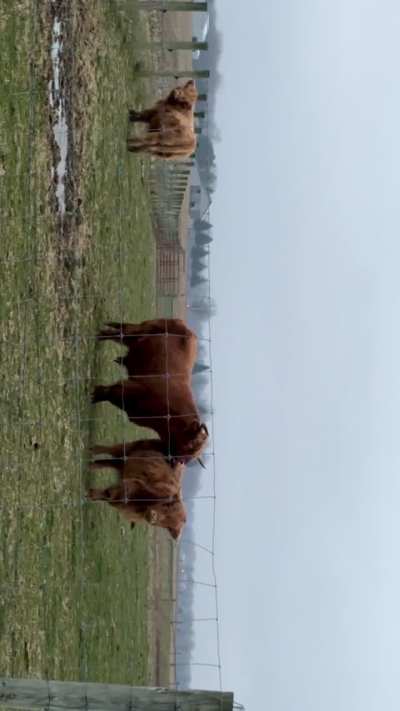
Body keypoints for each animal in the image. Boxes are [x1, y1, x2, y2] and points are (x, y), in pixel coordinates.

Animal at [92, 318, 209, 463]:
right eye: (191, 443)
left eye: (193, 456)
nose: (178, 462)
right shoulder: (128, 388)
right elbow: (104, 392)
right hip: (140, 330)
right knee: (118, 332)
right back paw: (99, 334)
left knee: (118, 332)